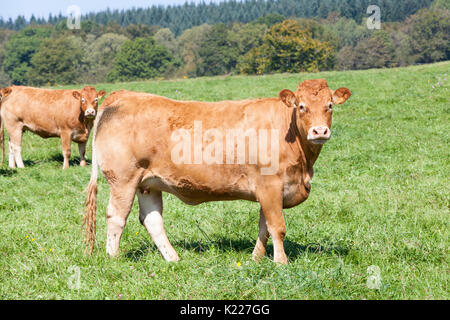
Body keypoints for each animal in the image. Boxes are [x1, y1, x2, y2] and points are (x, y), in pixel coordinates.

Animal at [84, 79, 352, 264]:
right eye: (302, 106)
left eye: (329, 106)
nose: (320, 131)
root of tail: (123, 95)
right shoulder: (270, 186)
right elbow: (277, 227)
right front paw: (281, 263)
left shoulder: (268, 191)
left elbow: (264, 227)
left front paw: (256, 259)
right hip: (123, 180)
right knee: (116, 216)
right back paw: (114, 258)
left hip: (147, 183)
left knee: (152, 220)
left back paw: (173, 258)